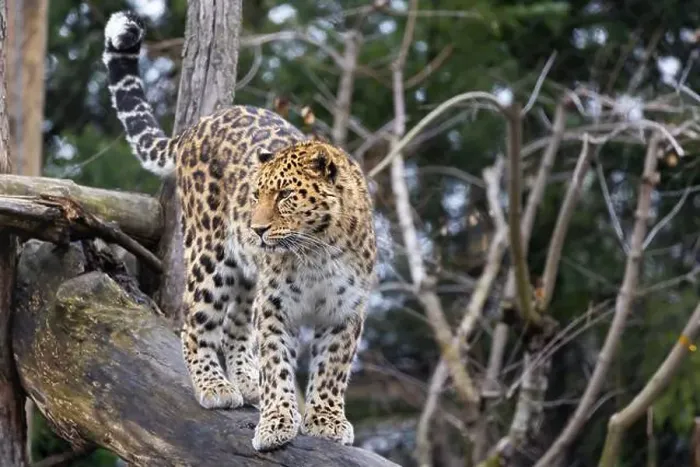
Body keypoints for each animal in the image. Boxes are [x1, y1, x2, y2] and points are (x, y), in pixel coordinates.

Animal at [102, 11, 377, 451]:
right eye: (256, 194)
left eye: (285, 196)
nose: (257, 228)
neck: (317, 249)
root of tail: (199, 125)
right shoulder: (276, 305)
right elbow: (277, 364)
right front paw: (278, 422)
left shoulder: (345, 311)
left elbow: (332, 369)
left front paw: (326, 420)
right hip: (210, 259)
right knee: (196, 325)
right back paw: (214, 386)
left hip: (248, 275)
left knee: (235, 329)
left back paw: (246, 382)